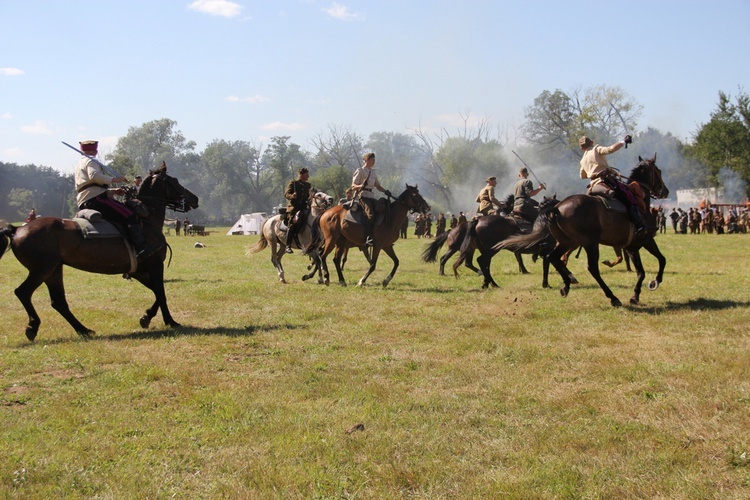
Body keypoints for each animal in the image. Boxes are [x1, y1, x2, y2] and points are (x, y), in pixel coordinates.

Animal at [0, 163, 200, 340]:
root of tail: (17, 229)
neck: (146, 221)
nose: (195, 199)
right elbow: (161, 293)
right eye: (174, 181)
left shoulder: (138, 271)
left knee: (58, 301)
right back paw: (33, 326)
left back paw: (83, 330)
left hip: (54, 270)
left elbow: (157, 291)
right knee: (23, 292)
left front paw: (147, 317)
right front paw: (170, 321)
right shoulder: (155, 265)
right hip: (42, 270)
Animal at [494, 154, 668, 306]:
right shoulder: (646, 240)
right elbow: (661, 260)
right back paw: (612, 297)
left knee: (553, 257)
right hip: (589, 243)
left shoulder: (631, 247)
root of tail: (557, 209)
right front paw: (655, 282)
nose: (665, 191)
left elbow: (641, 271)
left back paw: (566, 285)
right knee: (591, 268)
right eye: (658, 171)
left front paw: (635, 296)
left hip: (567, 242)